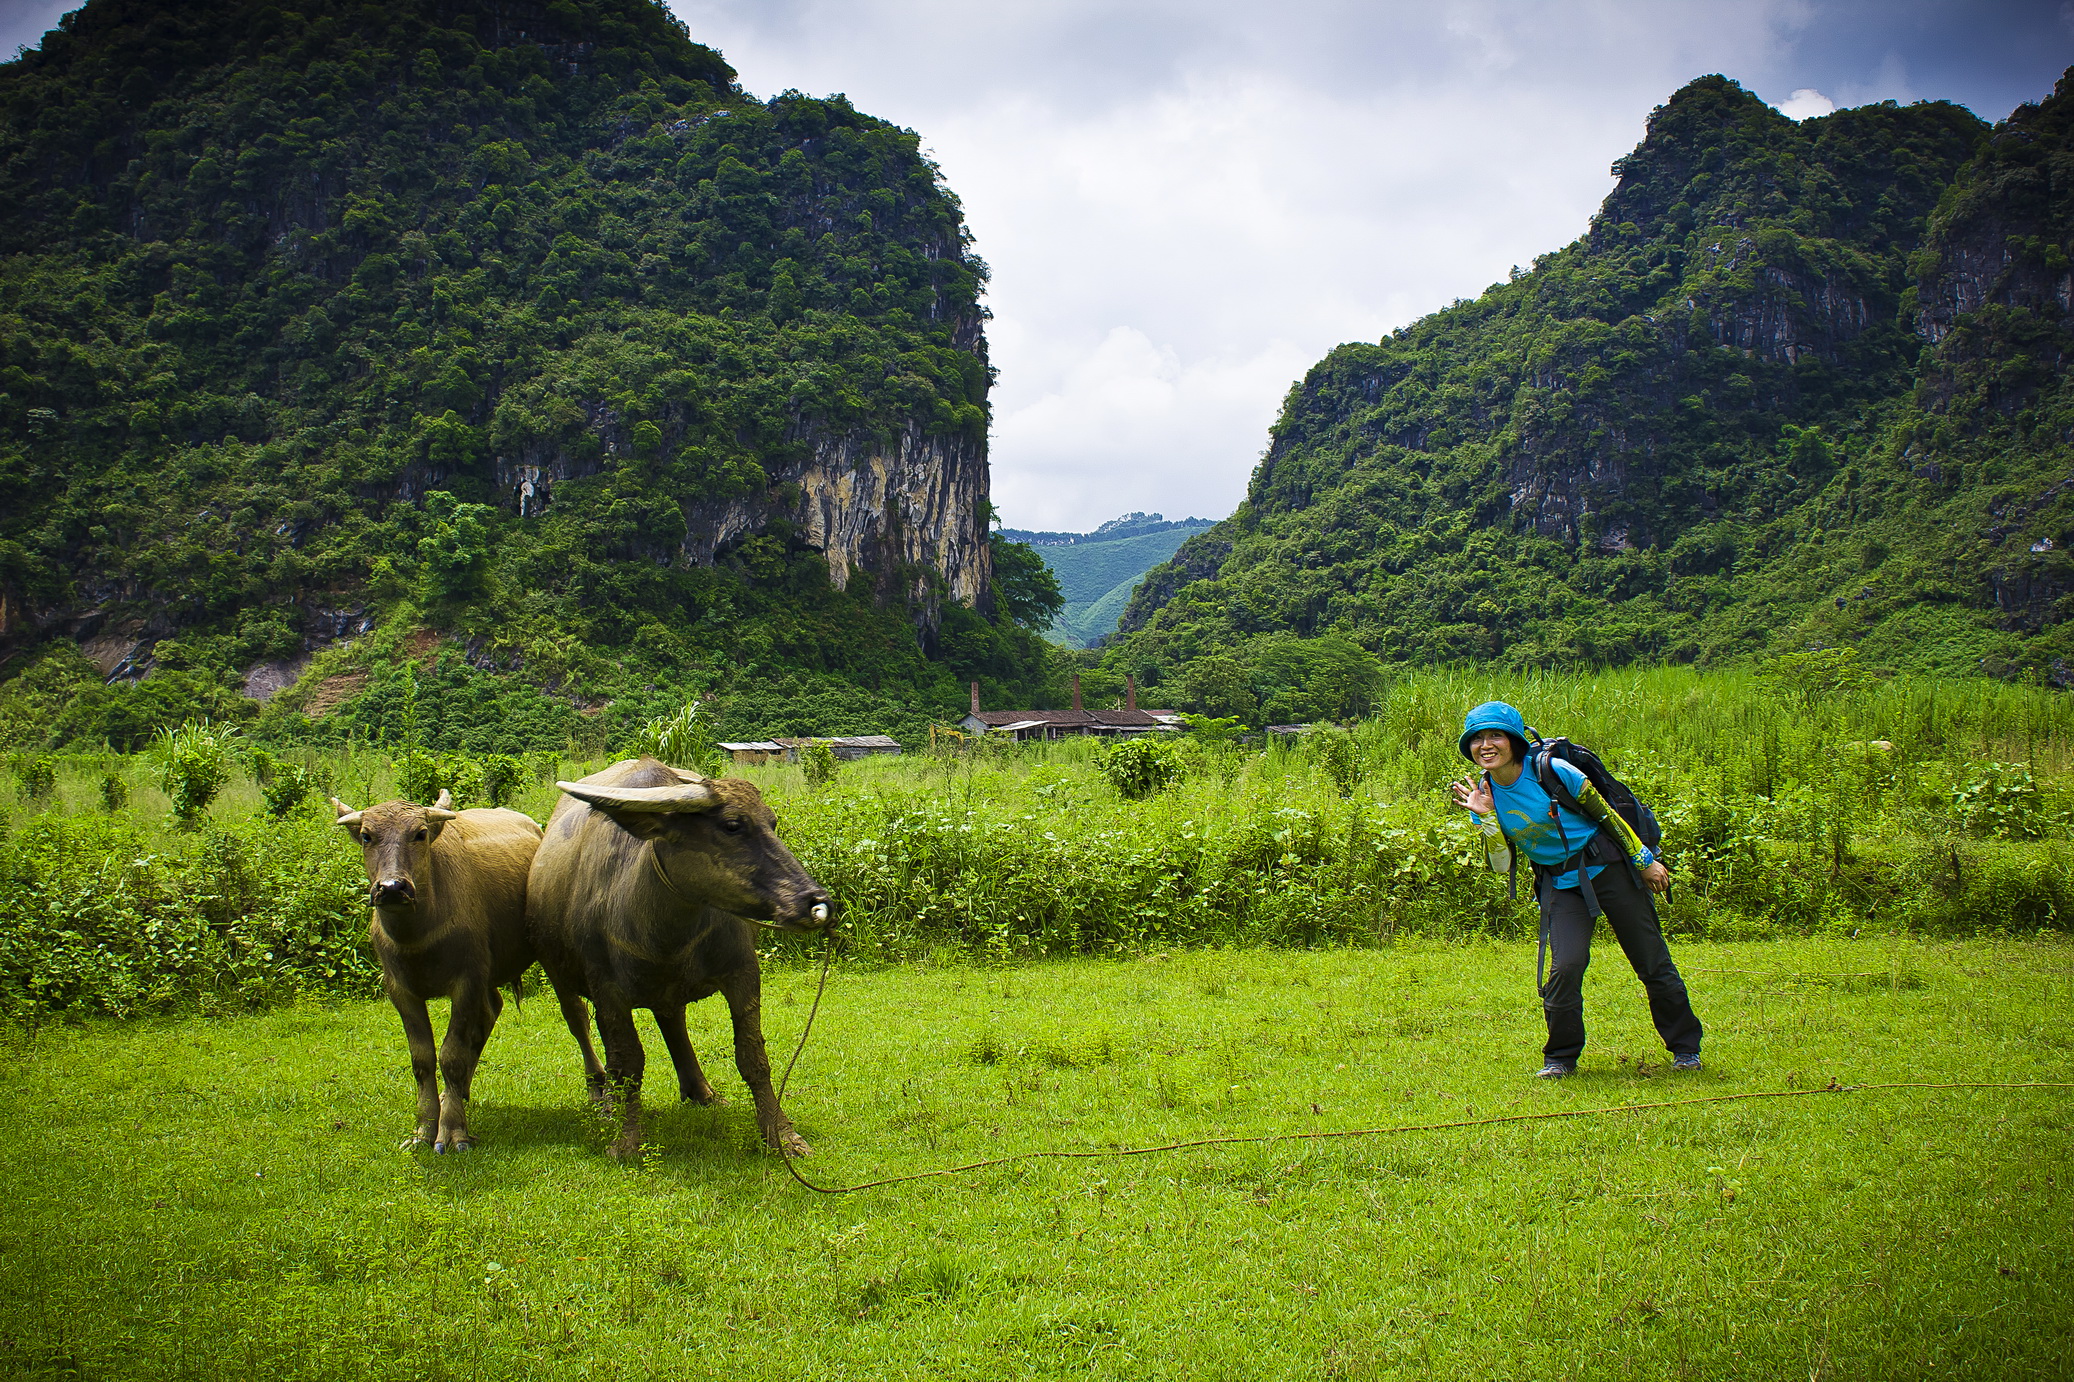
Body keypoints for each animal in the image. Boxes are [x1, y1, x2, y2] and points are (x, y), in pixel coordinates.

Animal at [331, 784, 543, 1153]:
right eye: (367, 836)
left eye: (420, 833)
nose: (392, 888)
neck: (417, 936)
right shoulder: (399, 989)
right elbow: (422, 1058)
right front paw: (425, 1128)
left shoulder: (467, 981)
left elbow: (451, 1055)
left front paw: (453, 1131)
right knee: (490, 1011)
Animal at [526, 759, 833, 1153]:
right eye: (732, 825)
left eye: (772, 822)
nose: (814, 902)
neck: (666, 929)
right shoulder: (608, 990)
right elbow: (628, 1061)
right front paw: (626, 1140)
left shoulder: (743, 973)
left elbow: (753, 1057)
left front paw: (781, 1134)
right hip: (559, 975)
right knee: (581, 1024)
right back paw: (603, 1097)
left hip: (664, 990)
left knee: (672, 1022)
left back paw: (699, 1090)